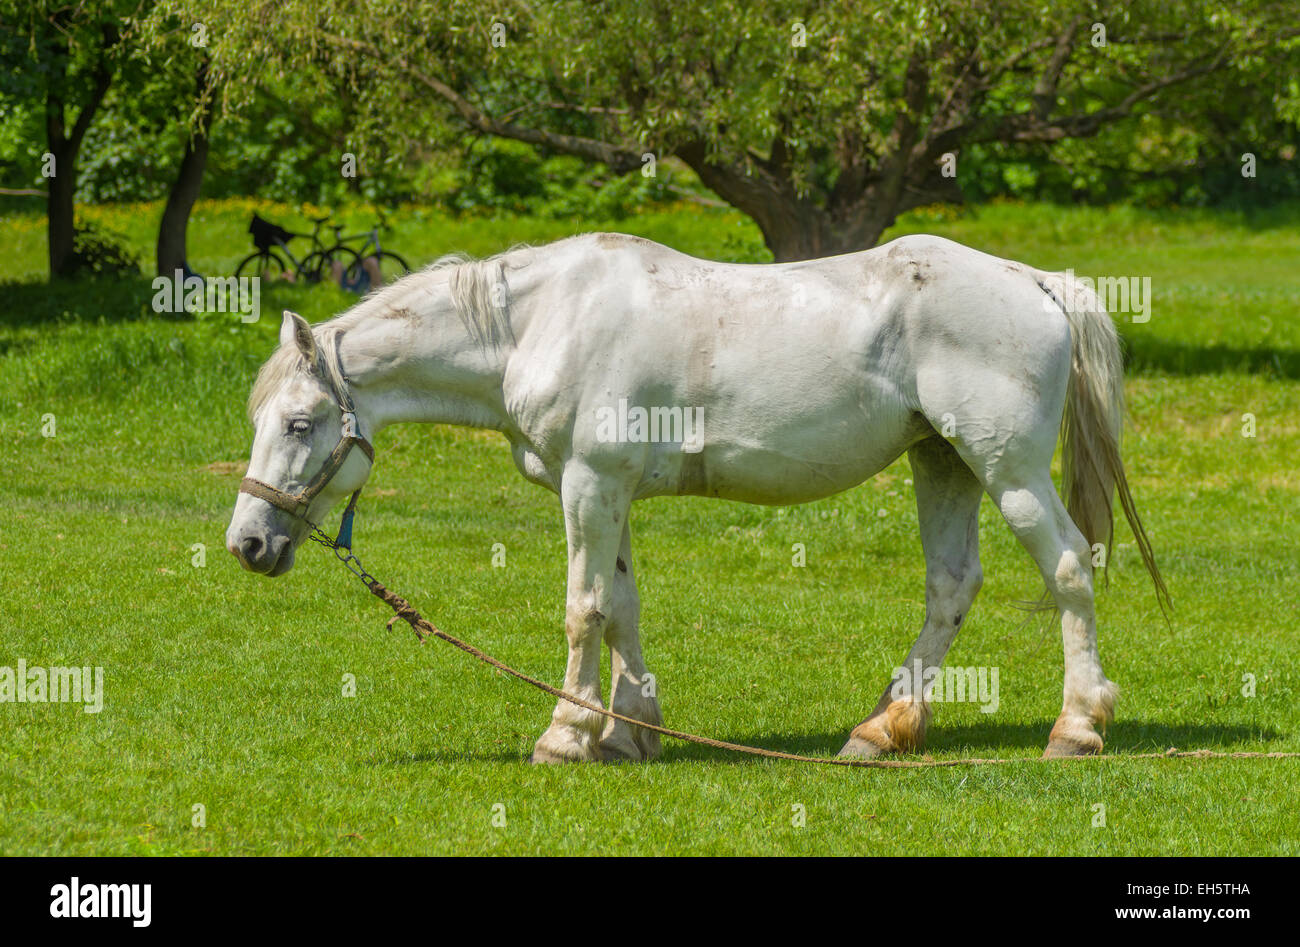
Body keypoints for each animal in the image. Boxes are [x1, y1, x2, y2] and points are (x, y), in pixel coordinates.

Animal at [228, 232, 1175, 764]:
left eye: (302, 421)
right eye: (262, 419)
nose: (247, 543)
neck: (538, 322)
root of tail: (1035, 280)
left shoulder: (590, 482)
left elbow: (581, 609)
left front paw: (564, 736)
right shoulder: (605, 490)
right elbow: (621, 606)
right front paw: (627, 732)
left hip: (1006, 469)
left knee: (1067, 567)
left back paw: (1076, 727)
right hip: (942, 461)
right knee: (950, 587)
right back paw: (880, 729)